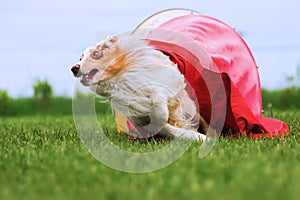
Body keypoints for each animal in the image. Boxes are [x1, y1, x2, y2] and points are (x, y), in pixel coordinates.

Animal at [71, 34, 210, 141]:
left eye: (95, 53)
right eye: (80, 58)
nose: (74, 68)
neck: (119, 79)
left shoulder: (168, 81)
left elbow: (157, 97)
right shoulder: (137, 115)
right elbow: (164, 127)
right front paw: (200, 137)